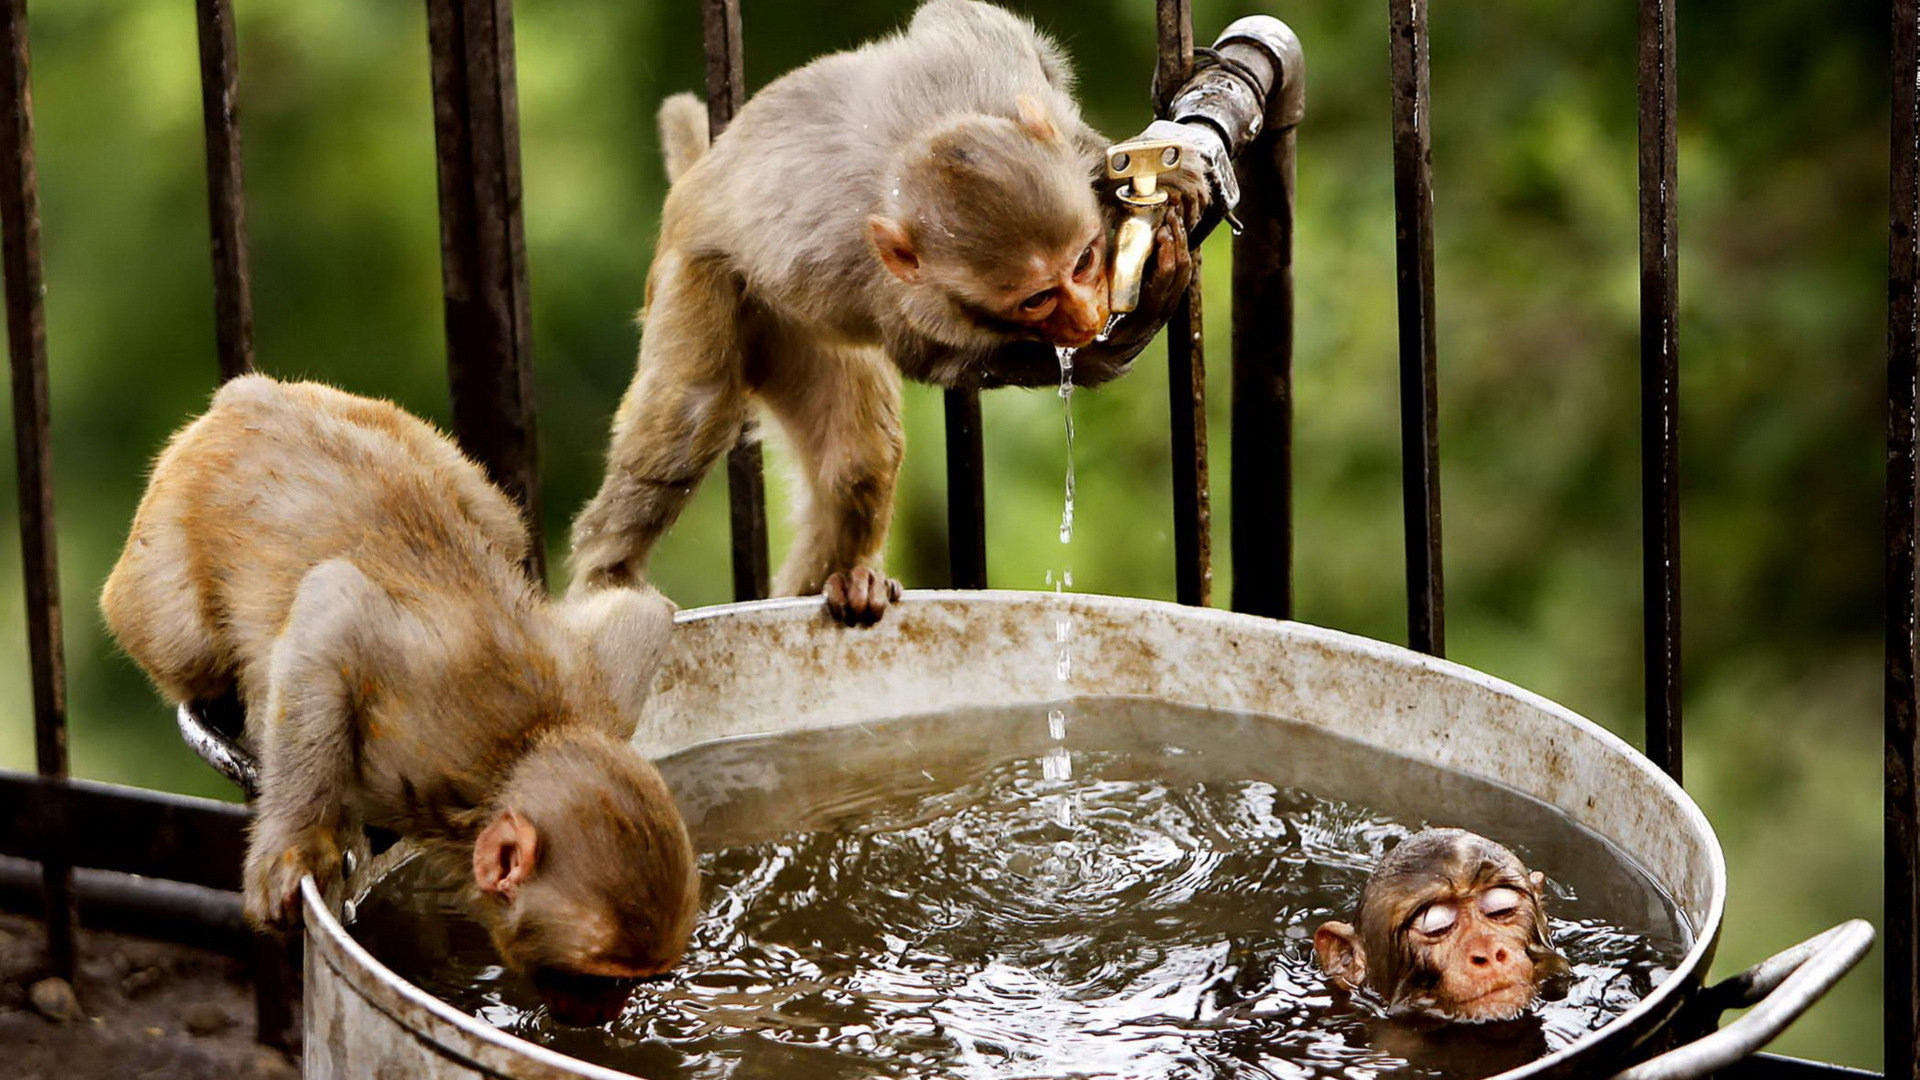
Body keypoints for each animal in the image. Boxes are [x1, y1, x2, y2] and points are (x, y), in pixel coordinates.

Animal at [101, 374, 702, 1022]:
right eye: (598, 978)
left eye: (636, 977)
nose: (604, 1014)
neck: (516, 752)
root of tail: (248, 396)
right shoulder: (419, 735)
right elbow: (333, 604)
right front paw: (291, 848)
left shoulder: (599, 696)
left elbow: (643, 612)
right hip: (163, 550)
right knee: (187, 642)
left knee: (498, 522)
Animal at [564, 0, 1213, 622]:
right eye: (1037, 299)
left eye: (1082, 261)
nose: (1084, 316)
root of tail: (693, 183)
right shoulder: (910, 301)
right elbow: (936, 359)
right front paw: (1120, 336)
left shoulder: (992, 65)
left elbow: (964, 19)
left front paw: (1128, 168)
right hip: (702, 277)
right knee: (693, 414)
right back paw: (608, 575)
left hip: (789, 332)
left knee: (858, 461)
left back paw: (844, 582)